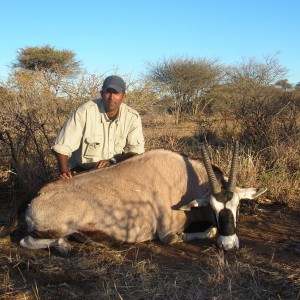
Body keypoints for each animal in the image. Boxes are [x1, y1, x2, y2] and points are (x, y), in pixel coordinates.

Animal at [0, 142, 268, 254]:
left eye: (237, 206)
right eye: (213, 207)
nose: (228, 245)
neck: (186, 181)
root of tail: (36, 195)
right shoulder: (167, 233)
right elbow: (194, 234)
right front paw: (212, 232)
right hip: (56, 228)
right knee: (26, 240)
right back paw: (64, 247)